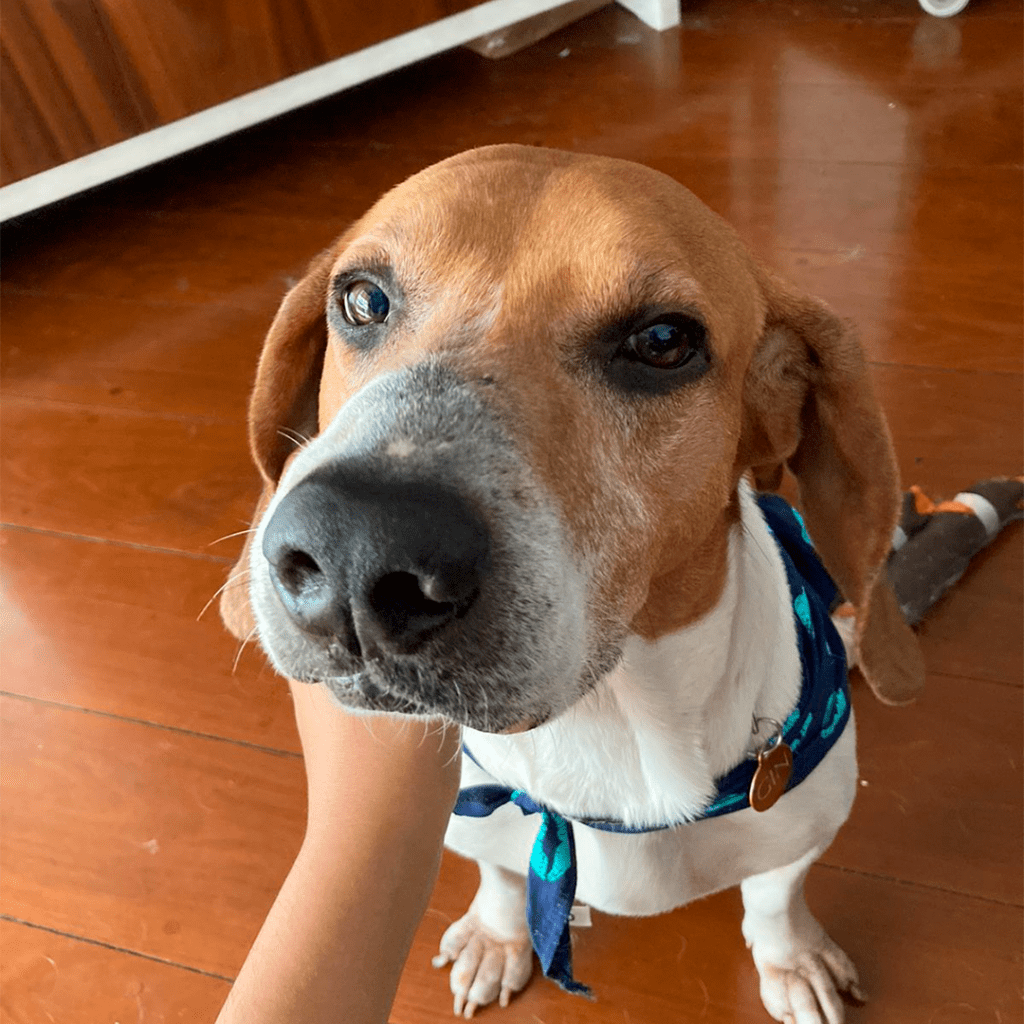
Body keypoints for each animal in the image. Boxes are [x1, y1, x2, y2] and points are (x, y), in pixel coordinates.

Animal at [224, 146, 929, 1024]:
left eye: (663, 340)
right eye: (361, 299)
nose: (355, 546)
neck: (612, 725)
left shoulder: (799, 830)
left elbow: (774, 898)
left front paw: (792, 961)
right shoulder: (478, 824)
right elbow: (499, 878)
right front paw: (497, 939)